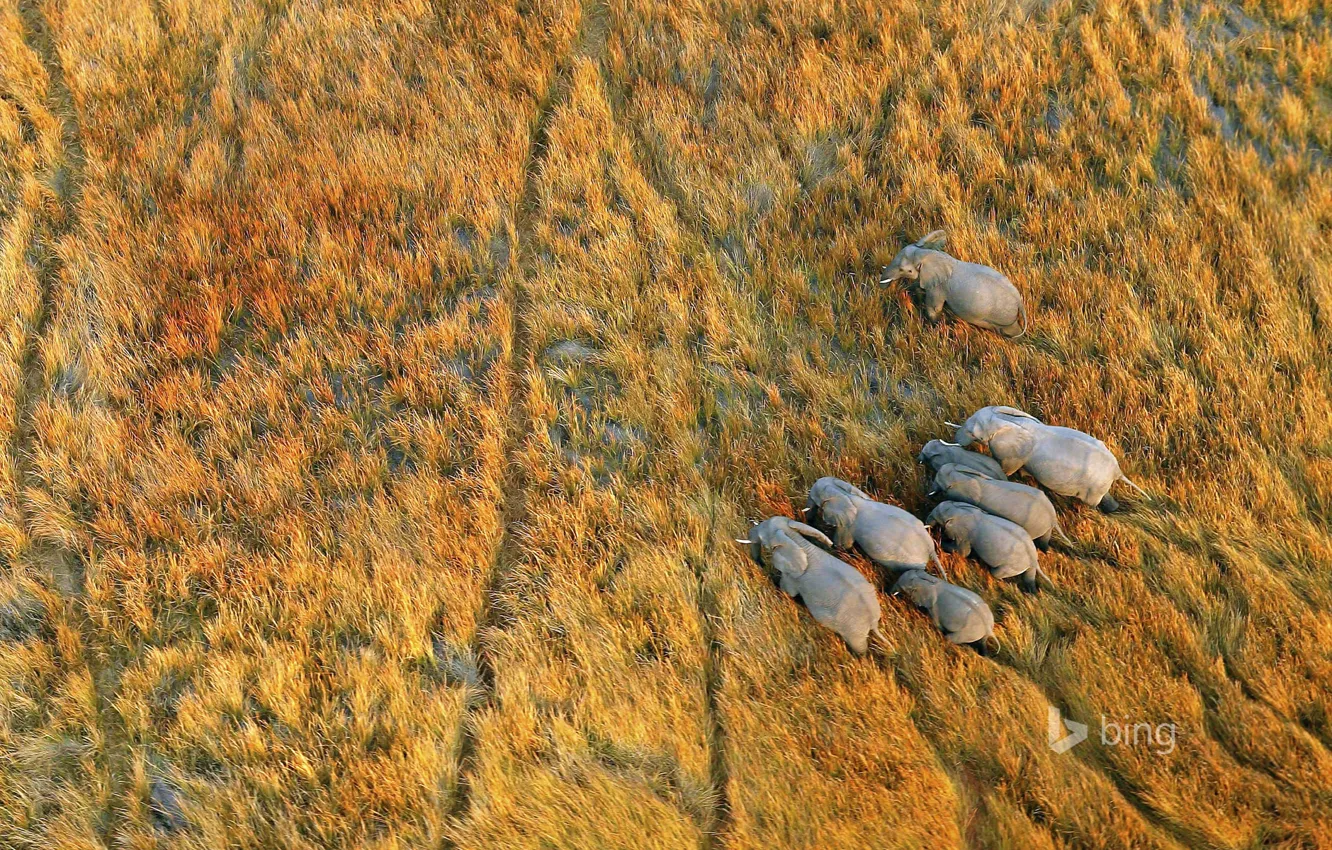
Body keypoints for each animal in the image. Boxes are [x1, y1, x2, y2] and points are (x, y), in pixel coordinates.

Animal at [736, 516, 886, 655]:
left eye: (763, 538)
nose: (760, 564)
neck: (795, 539)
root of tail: (873, 621)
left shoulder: (792, 577)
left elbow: (787, 590)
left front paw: (776, 585)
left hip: (853, 630)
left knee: (859, 647)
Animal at [804, 477, 945, 578]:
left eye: (817, 497)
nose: (810, 522)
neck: (844, 494)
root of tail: (930, 549)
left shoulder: (847, 526)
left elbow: (842, 545)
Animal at [881, 230, 1027, 338]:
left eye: (904, 270)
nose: (883, 288)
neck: (927, 253)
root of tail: (1020, 302)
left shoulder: (939, 287)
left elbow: (934, 308)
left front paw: (934, 327)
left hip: (1003, 317)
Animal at [950, 405, 1148, 512]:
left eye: (973, 434)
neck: (1006, 420)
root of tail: (1117, 471)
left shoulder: (1011, 453)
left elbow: (1006, 469)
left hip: (1093, 488)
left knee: (1089, 503)